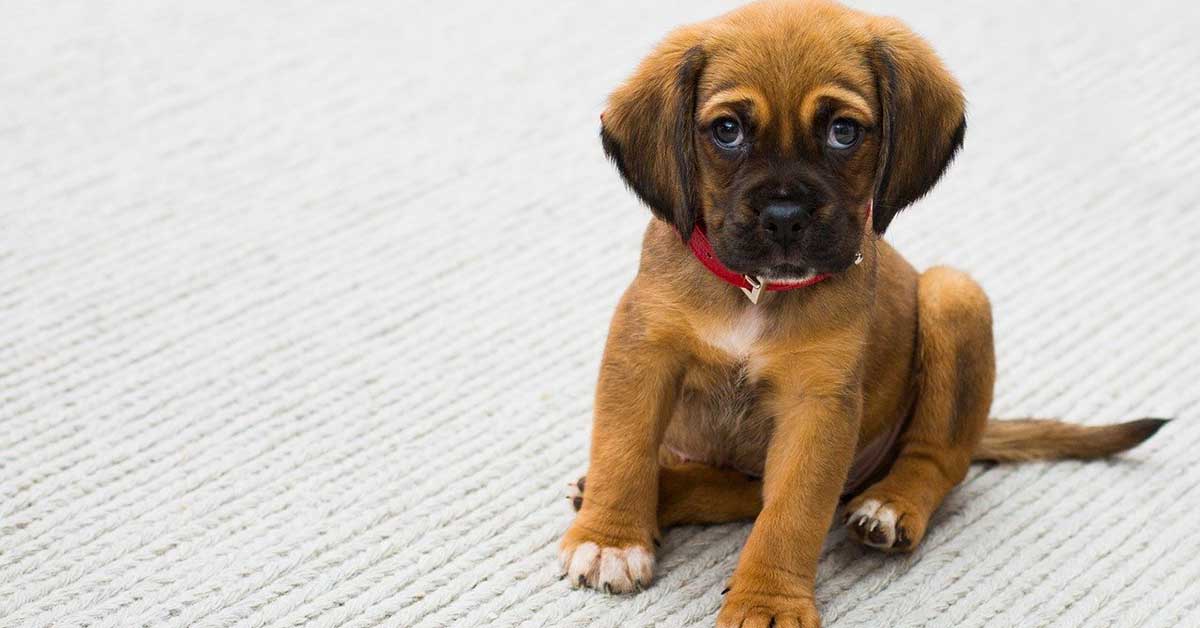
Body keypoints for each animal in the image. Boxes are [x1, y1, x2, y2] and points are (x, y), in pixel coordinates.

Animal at [564, 2, 1171, 624]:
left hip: (954, 297)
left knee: (937, 459)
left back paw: (891, 505)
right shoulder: (642, 355)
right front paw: (612, 539)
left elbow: (792, 515)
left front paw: (768, 599)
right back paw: (659, 491)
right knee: (738, 490)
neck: (756, 293)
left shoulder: (818, 406)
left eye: (843, 132)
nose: (785, 217)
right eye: (727, 131)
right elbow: (623, 450)